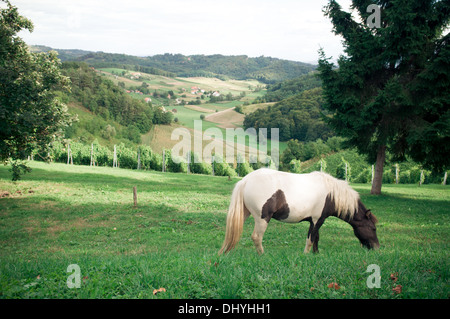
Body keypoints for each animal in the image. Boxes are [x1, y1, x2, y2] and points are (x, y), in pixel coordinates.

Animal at [220, 169, 378, 256]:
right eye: (373, 228)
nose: (376, 247)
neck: (330, 194)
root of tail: (245, 180)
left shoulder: (315, 221)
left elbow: (316, 238)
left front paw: (316, 254)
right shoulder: (317, 220)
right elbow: (310, 239)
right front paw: (306, 255)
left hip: (245, 214)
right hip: (262, 218)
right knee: (256, 237)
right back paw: (262, 255)